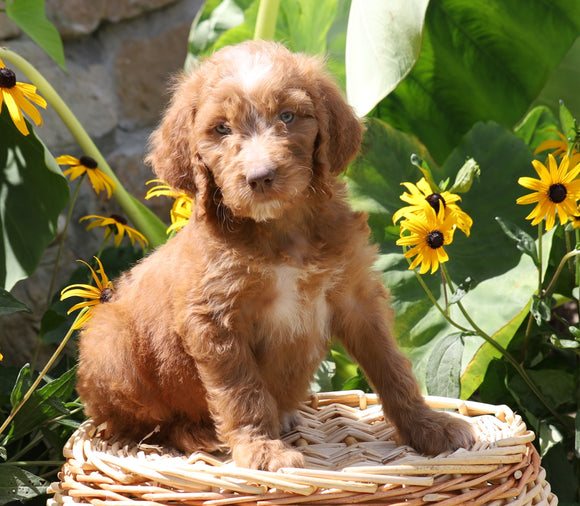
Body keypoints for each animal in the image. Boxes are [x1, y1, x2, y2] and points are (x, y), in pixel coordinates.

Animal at [76, 39, 476, 470]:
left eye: (287, 116)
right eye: (221, 128)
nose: (261, 177)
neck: (282, 232)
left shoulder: (357, 298)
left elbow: (392, 367)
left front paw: (429, 426)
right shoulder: (216, 320)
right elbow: (241, 391)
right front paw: (262, 449)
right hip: (110, 342)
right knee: (137, 426)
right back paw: (194, 432)